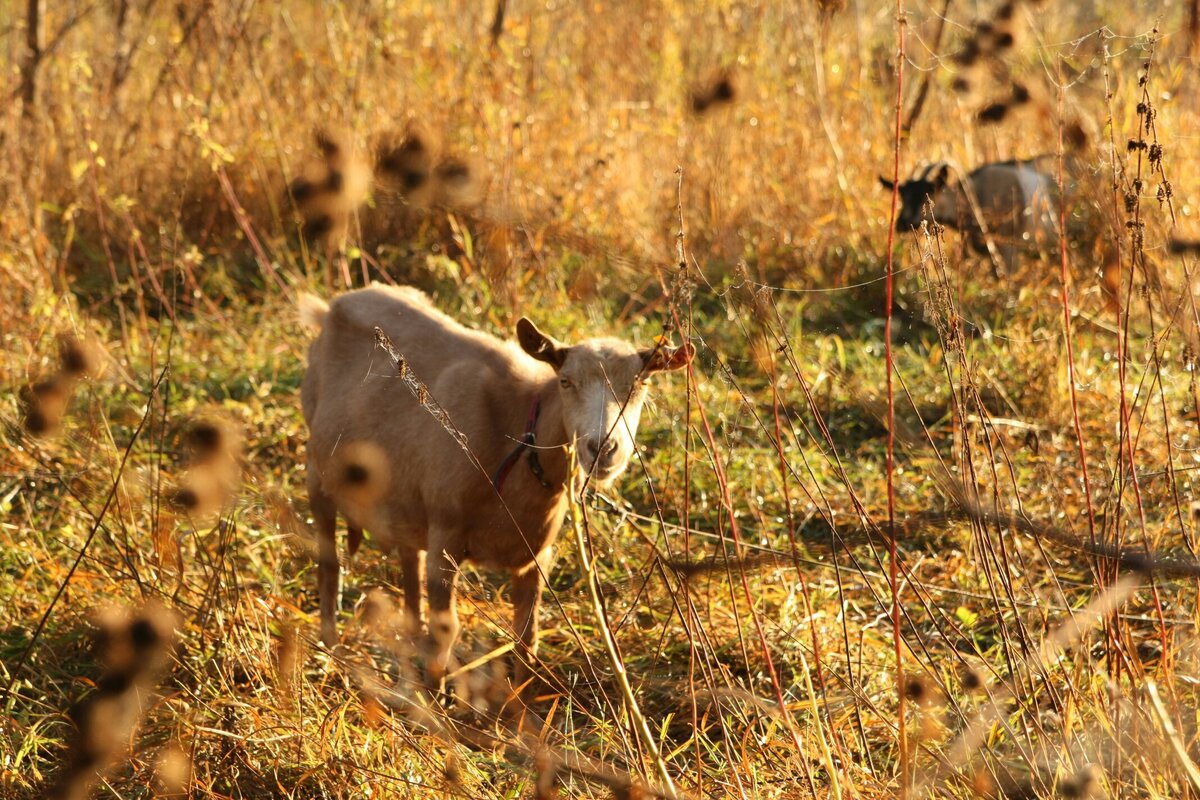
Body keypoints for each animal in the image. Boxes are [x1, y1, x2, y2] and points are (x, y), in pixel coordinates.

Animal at [300, 286, 696, 690]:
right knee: (329, 560)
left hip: (405, 497)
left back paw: (409, 643)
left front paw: (521, 703)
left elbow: (526, 637)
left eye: (641, 384)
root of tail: (333, 305)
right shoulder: (446, 533)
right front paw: (437, 697)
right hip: (317, 470)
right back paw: (332, 645)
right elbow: (447, 629)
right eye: (565, 382)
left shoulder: (536, 555)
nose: (602, 447)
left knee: (409, 559)